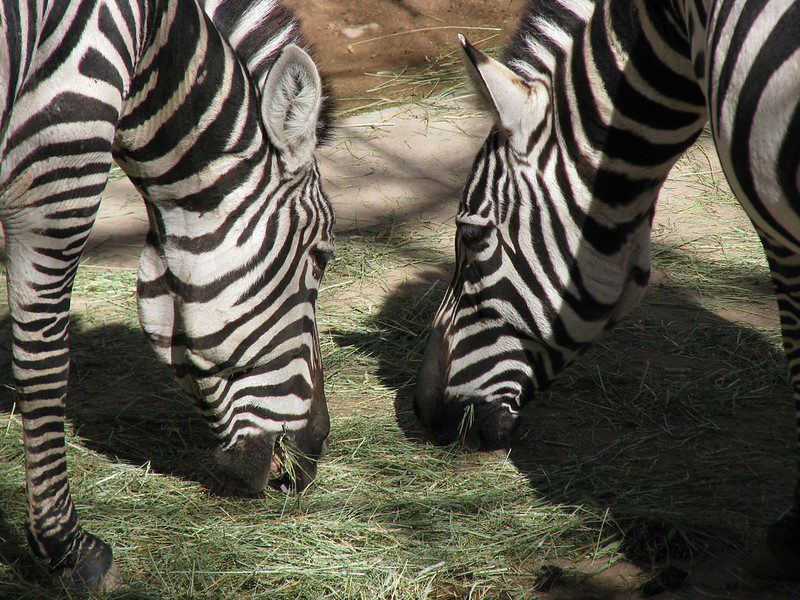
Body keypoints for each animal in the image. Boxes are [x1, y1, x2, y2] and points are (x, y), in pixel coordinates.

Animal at [0, 0, 334, 588]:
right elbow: (44, 365)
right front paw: (69, 548)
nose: (316, 452)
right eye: (321, 258)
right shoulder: (55, 175)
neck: (152, 48)